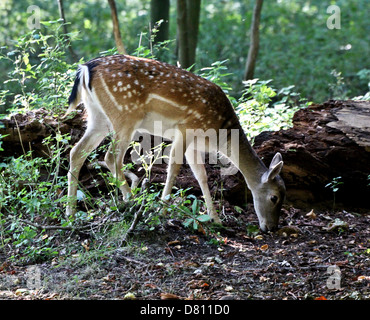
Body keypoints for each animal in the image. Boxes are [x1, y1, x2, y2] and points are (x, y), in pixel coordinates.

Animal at [66, 54, 286, 230]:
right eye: (274, 197)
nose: (272, 228)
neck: (219, 135)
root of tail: (86, 68)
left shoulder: (194, 145)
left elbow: (202, 176)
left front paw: (215, 219)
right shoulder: (186, 129)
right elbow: (174, 168)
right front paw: (162, 211)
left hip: (97, 117)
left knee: (76, 152)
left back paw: (70, 212)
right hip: (125, 115)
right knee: (111, 158)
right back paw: (132, 201)